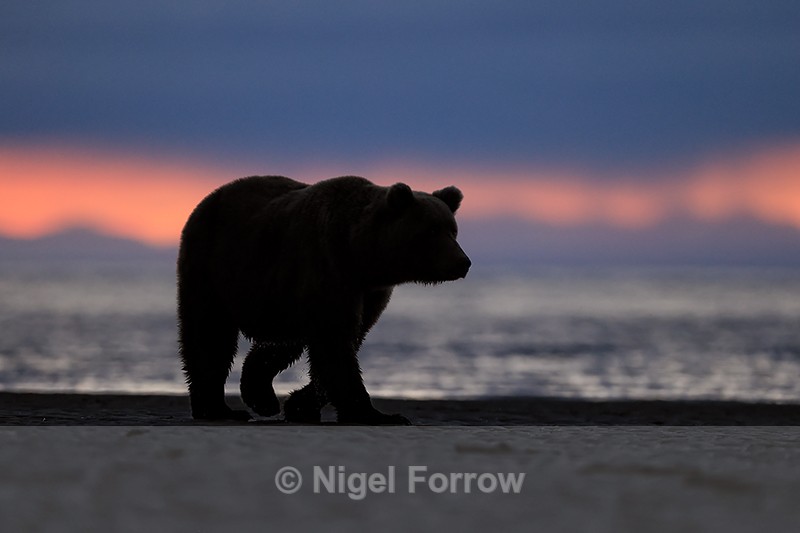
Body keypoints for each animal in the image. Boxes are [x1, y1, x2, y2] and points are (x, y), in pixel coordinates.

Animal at [177, 175, 470, 424]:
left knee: (279, 342)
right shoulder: (328, 266)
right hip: (213, 268)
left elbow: (346, 340)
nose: (463, 262)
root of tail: (209, 198)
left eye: (453, 230)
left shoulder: (369, 293)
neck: (361, 256)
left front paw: (298, 405)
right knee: (210, 335)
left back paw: (258, 395)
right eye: (431, 231)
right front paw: (380, 415)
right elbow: (335, 343)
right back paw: (218, 408)